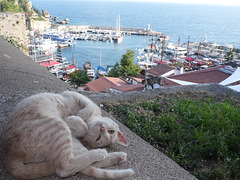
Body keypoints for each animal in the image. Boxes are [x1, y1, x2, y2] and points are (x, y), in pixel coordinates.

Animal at [2, 91, 133, 179]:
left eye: (98, 138)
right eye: (111, 131)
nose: (102, 128)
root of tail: (8, 154)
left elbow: (83, 127)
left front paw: (74, 120)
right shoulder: (76, 96)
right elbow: (88, 111)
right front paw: (79, 117)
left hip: (61, 131)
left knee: (65, 167)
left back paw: (113, 155)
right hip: (64, 134)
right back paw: (115, 156)